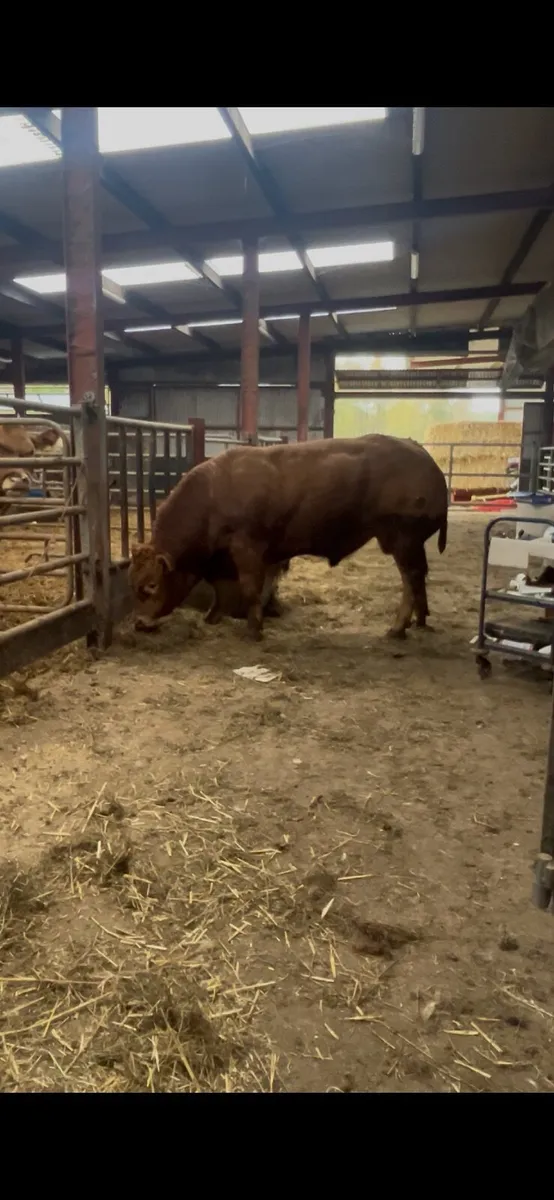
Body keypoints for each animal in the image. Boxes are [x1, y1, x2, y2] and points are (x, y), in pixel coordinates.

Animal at [129, 434, 448, 642]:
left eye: (152, 584)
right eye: (133, 581)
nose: (140, 623)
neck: (212, 495)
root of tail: (421, 455)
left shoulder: (247, 548)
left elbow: (250, 587)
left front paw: (253, 629)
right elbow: (224, 589)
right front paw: (213, 617)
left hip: (403, 540)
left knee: (411, 579)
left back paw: (398, 628)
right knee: (420, 578)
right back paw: (420, 621)